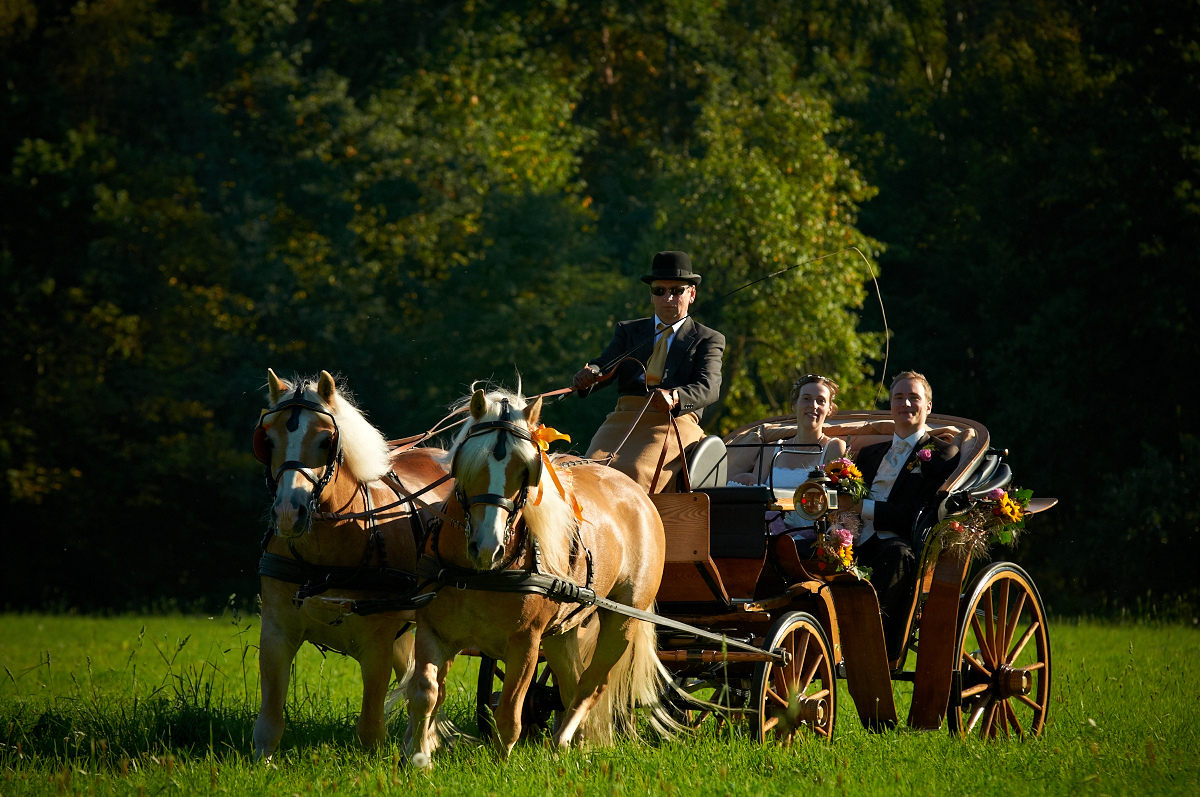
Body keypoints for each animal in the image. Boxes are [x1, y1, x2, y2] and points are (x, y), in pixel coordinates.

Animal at [250, 369, 451, 758]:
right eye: (267, 439)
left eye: (326, 439)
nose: (288, 513)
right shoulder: (276, 634)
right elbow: (268, 723)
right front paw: (262, 763)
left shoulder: (376, 647)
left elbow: (371, 730)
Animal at [405, 388, 676, 763]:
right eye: (470, 463)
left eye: (525, 471)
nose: (487, 547)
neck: (482, 575)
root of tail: (634, 490)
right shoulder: (433, 630)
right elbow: (425, 693)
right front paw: (419, 759)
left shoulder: (526, 642)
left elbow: (509, 712)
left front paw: (500, 764)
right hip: (563, 630)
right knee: (571, 682)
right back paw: (579, 743)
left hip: (623, 619)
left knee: (591, 685)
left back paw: (562, 741)